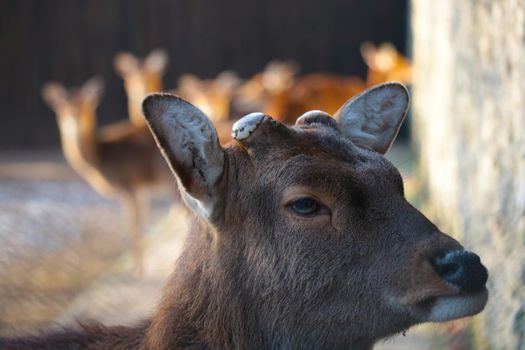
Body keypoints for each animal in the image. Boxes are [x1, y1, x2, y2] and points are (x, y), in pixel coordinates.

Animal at [42, 77, 171, 274]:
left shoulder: (128, 185)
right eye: (61, 105)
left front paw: (138, 270)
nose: (73, 115)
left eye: (85, 102)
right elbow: (139, 221)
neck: (102, 157)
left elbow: (133, 225)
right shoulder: (140, 191)